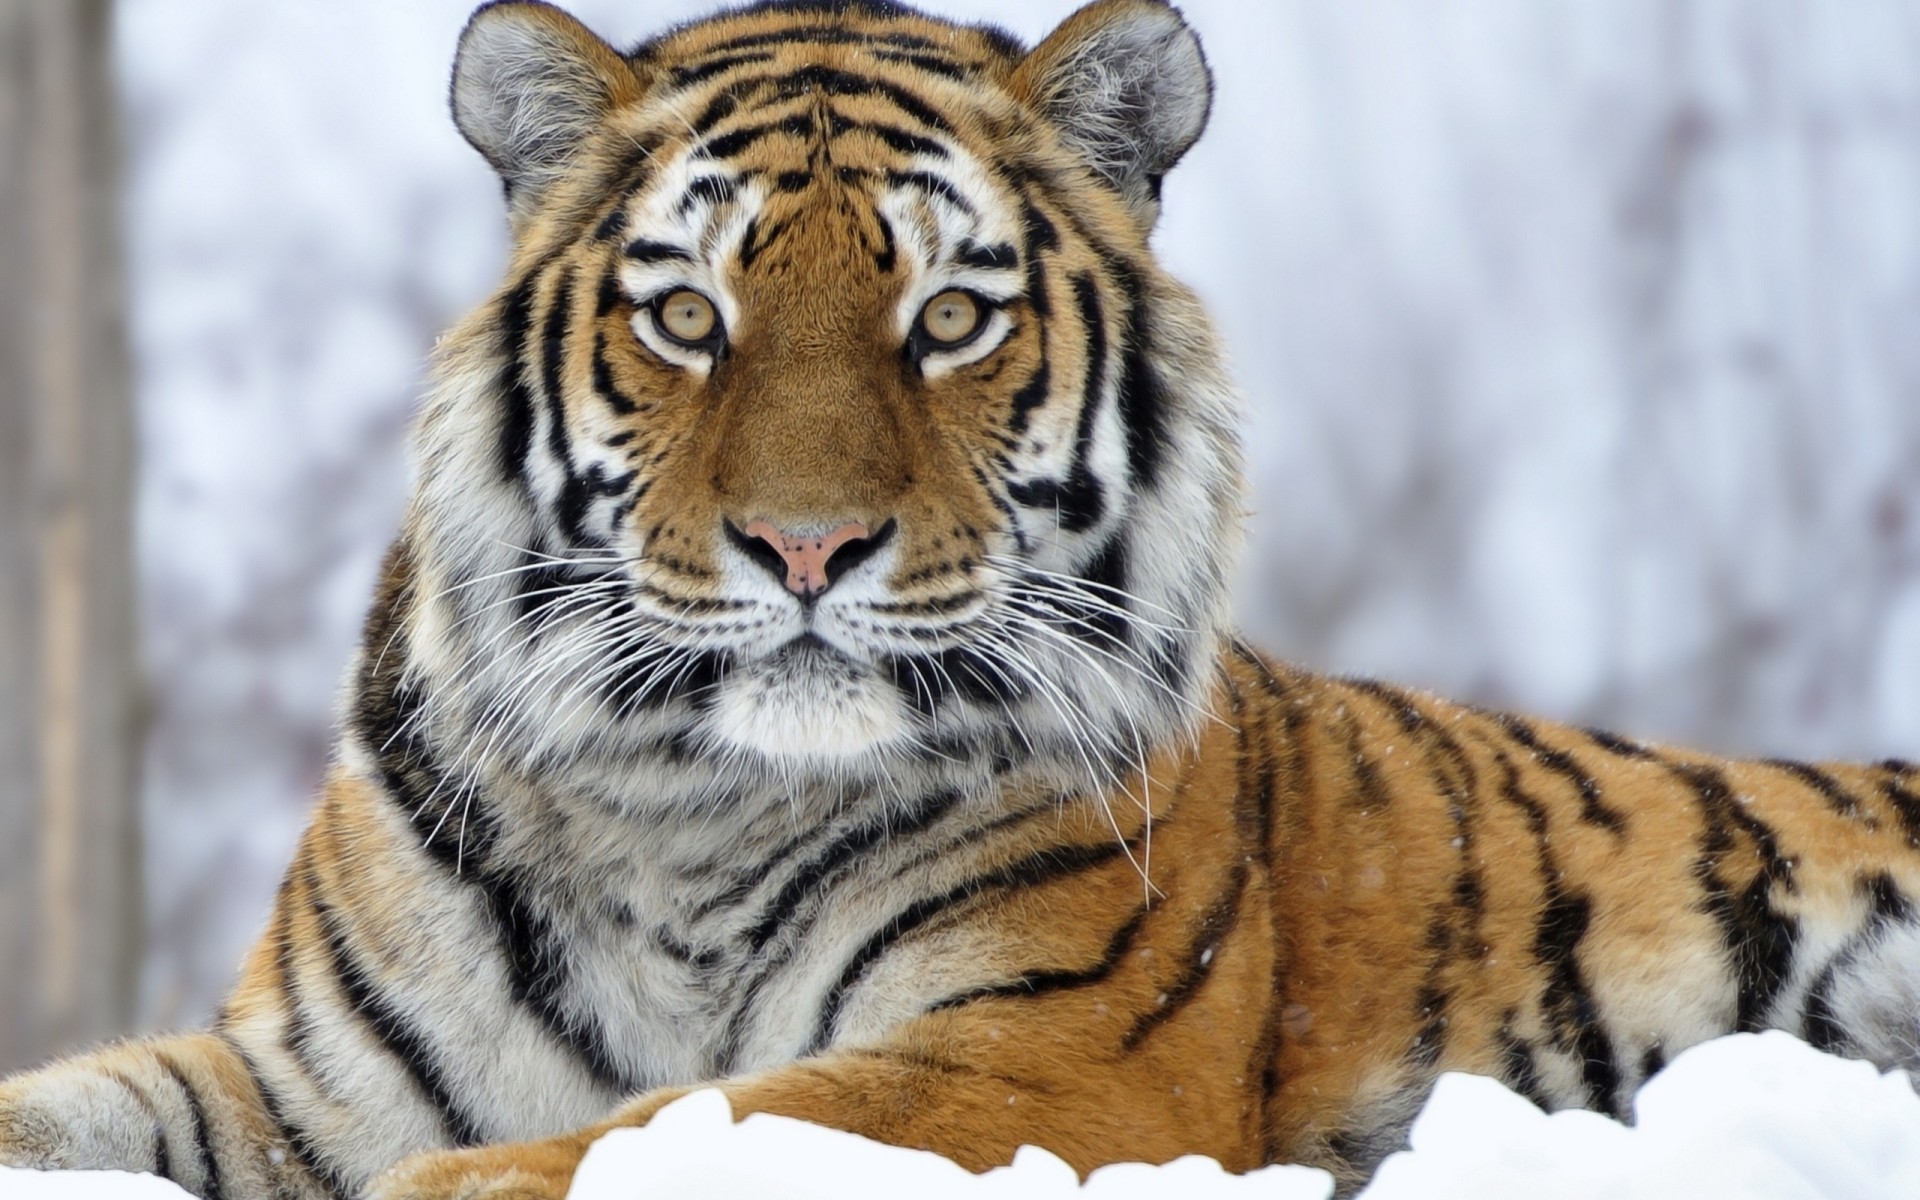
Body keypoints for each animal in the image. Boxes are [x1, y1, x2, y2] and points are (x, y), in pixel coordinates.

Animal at [4, 1, 1918, 1197]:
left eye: (948, 318)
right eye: (688, 316)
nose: (805, 550)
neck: (685, 809)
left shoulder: (1037, 1057)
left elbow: (625, 1140)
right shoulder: (310, 1085)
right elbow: (74, 1106)